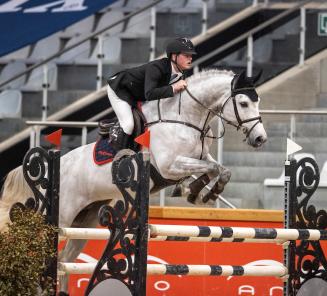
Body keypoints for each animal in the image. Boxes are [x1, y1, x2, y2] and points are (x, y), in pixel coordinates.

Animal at [0, 69, 266, 294]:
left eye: (258, 101)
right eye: (244, 103)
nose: (260, 139)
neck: (185, 118)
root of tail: (56, 163)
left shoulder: (195, 158)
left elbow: (219, 169)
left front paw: (198, 191)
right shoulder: (170, 166)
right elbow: (212, 168)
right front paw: (196, 190)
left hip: (83, 223)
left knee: (64, 261)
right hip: (61, 216)